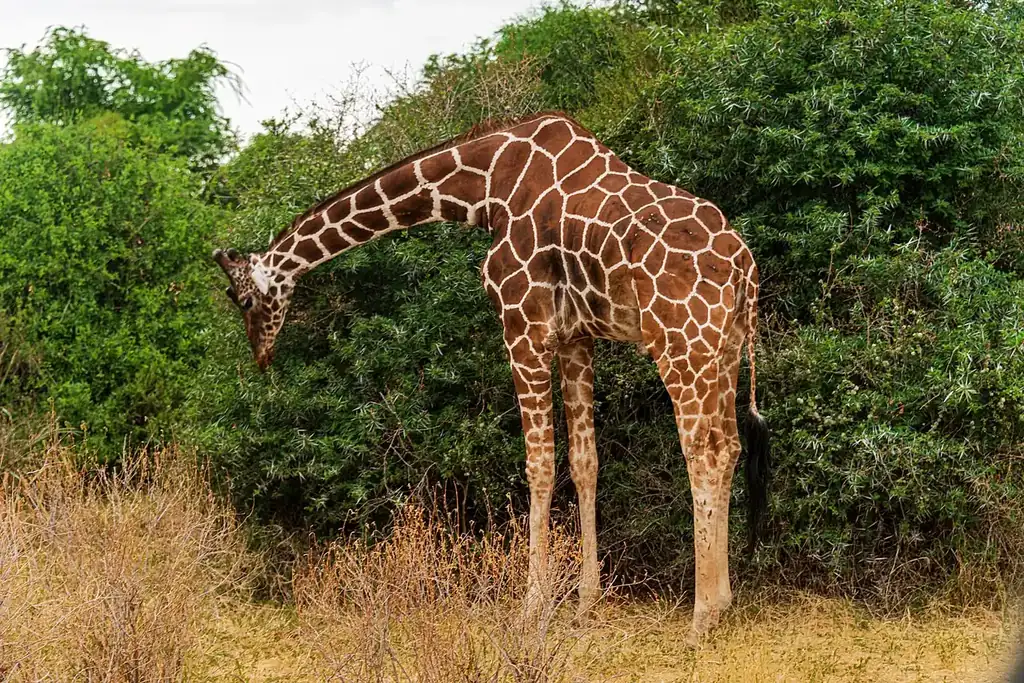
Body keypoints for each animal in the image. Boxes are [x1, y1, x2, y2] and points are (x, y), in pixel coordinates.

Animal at [213, 111, 770, 641]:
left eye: (243, 300)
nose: (260, 356)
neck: (483, 189)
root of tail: (745, 266)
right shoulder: (575, 336)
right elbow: (584, 461)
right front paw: (586, 600)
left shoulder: (521, 323)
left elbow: (538, 465)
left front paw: (531, 606)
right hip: (724, 348)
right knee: (730, 446)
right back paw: (723, 601)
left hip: (680, 342)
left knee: (703, 452)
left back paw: (702, 614)